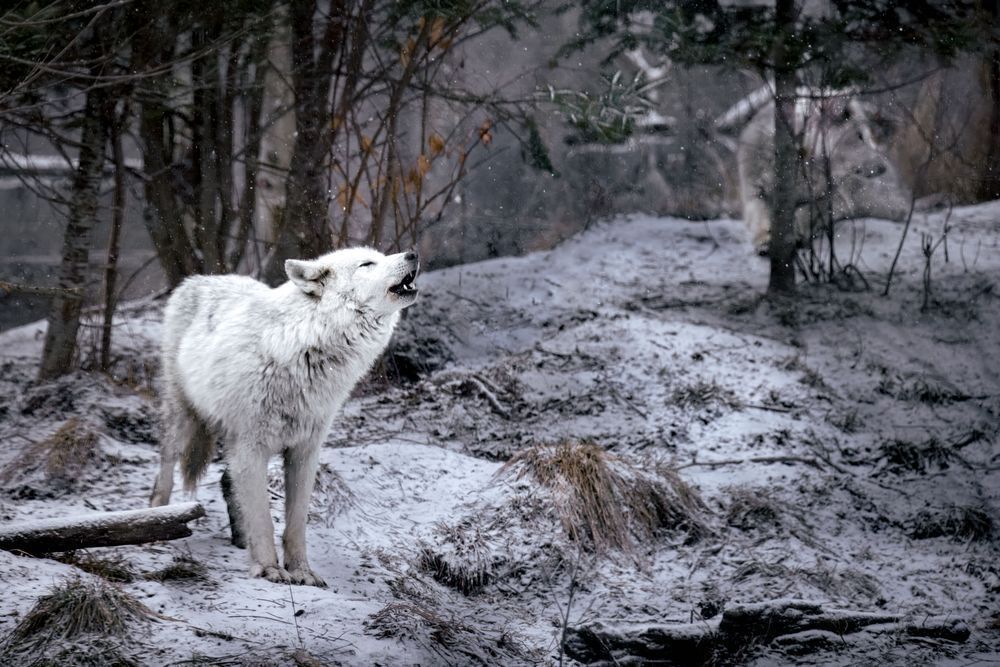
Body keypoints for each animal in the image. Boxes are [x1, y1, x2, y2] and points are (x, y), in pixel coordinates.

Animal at [150, 247, 419, 586]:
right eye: (367, 264)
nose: (412, 254)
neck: (305, 347)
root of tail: (197, 279)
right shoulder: (251, 449)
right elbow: (264, 519)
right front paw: (269, 568)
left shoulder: (304, 452)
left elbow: (296, 524)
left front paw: (301, 571)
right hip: (183, 417)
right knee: (166, 468)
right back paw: (157, 522)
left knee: (228, 482)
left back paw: (241, 539)